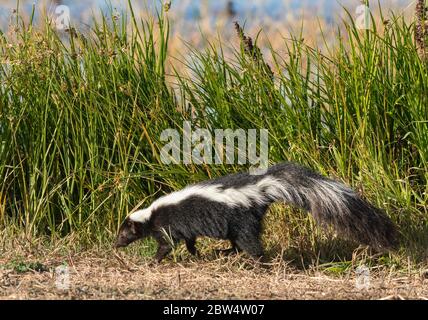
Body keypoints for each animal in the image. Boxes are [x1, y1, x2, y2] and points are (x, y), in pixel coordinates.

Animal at [114, 162, 398, 262]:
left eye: (123, 233)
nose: (115, 244)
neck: (150, 214)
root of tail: (261, 187)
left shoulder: (167, 223)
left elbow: (167, 244)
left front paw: (154, 260)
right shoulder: (180, 226)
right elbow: (189, 240)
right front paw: (195, 253)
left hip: (241, 218)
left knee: (249, 242)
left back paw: (258, 262)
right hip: (237, 222)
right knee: (237, 241)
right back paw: (226, 252)